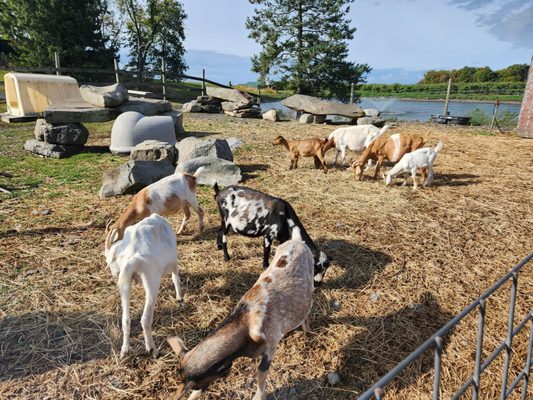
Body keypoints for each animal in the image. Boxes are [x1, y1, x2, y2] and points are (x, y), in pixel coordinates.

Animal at [104, 214, 183, 358]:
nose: (114, 275)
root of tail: (132, 258)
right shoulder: (174, 261)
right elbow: (175, 278)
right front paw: (180, 299)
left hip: (124, 284)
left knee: (125, 319)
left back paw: (124, 351)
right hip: (152, 281)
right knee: (145, 319)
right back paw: (153, 350)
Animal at [168, 238, 314, 400]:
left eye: (196, 384)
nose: (198, 389)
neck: (244, 321)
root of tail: (297, 241)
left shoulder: (270, 343)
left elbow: (261, 374)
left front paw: (259, 396)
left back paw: (307, 330)